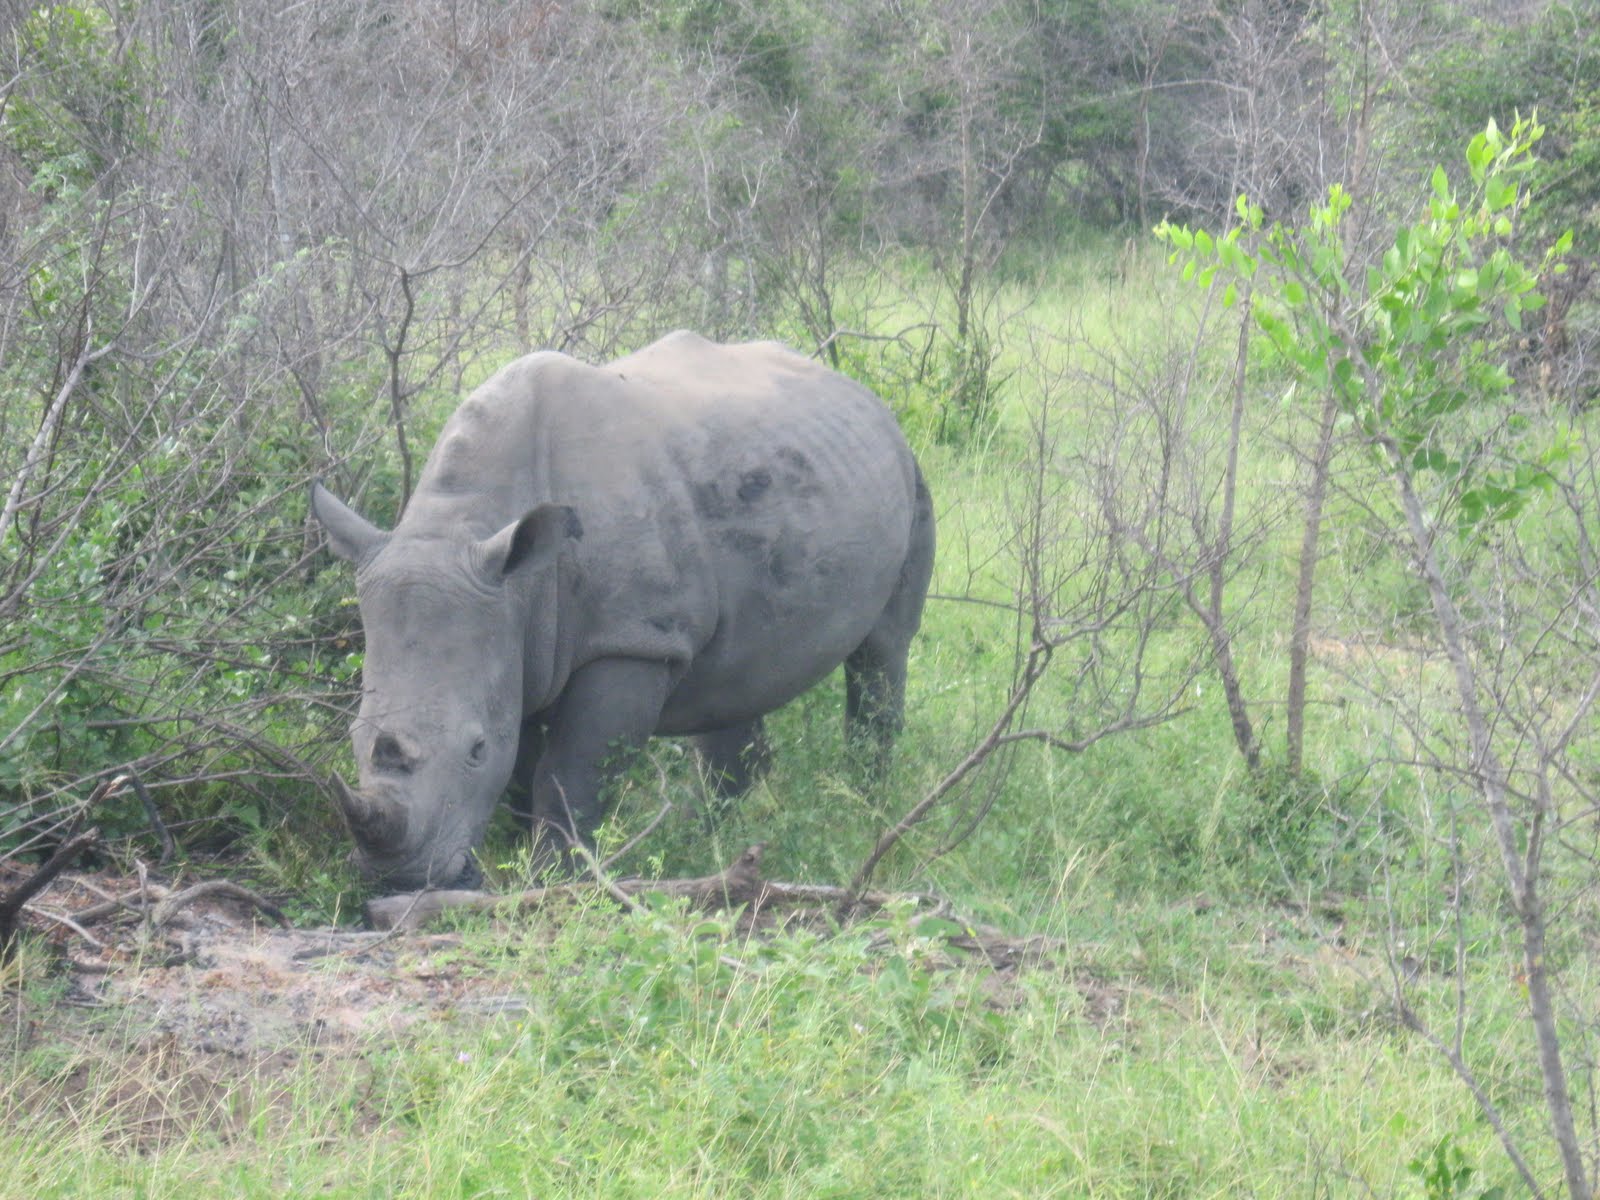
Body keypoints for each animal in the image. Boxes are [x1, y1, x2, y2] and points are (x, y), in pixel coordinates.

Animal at [311, 331, 934, 890]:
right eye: (354, 737)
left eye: (475, 749)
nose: (398, 879)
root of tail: (867, 399)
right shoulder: (515, 636)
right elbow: (523, 772)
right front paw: (513, 863)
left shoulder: (632, 641)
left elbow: (572, 773)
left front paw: (552, 880)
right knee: (737, 677)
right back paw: (705, 843)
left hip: (911, 479)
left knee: (882, 654)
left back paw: (862, 812)